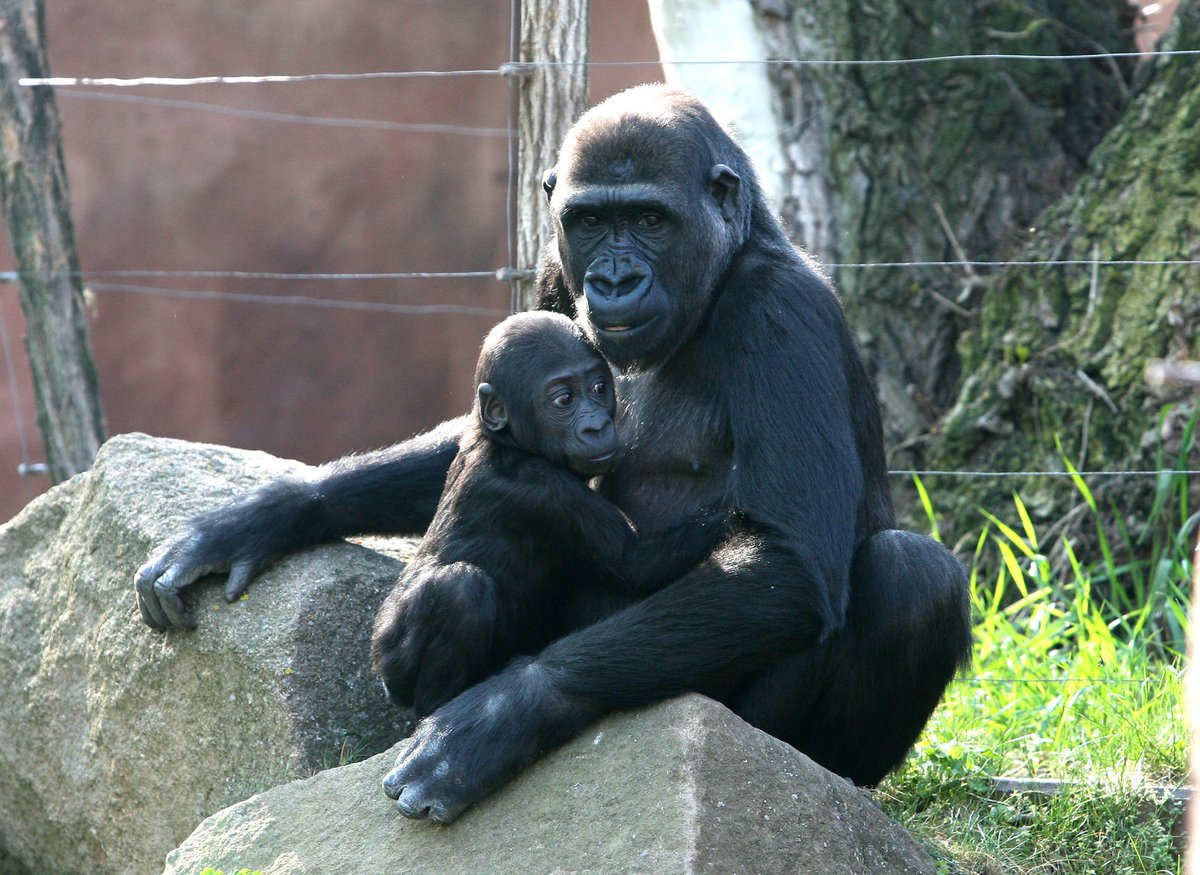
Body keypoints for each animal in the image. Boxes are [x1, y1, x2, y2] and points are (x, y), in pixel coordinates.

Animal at [369, 309, 724, 720]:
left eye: (600, 388)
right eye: (564, 399)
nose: (597, 426)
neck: (508, 441)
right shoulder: (544, 490)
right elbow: (636, 560)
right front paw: (738, 510)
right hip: (392, 662)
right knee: (457, 590)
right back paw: (436, 708)